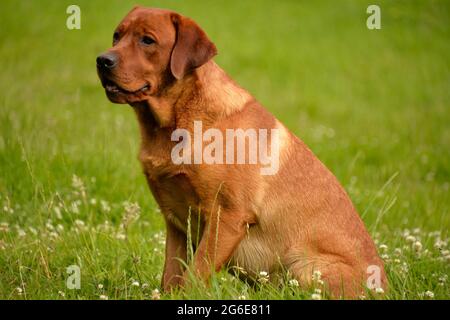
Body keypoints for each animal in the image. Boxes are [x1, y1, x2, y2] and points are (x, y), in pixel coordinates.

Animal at [97, 6, 386, 298]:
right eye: (116, 36)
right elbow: (171, 277)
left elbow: (194, 275)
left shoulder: (228, 216)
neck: (171, 127)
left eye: (148, 40)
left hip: (304, 267)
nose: (102, 60)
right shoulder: (176, 222)